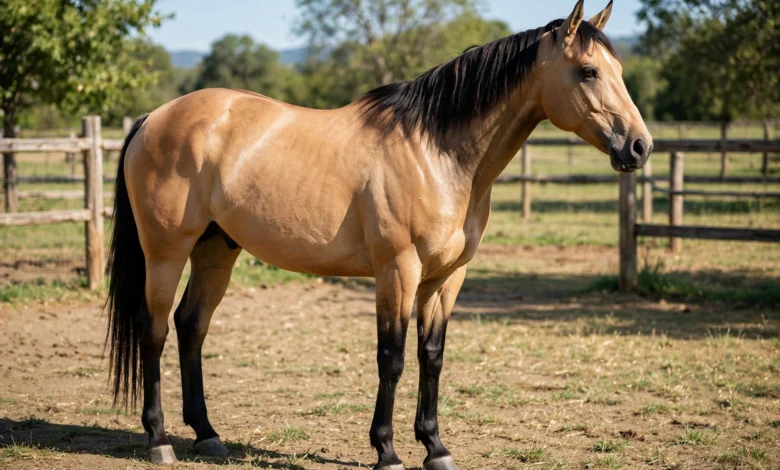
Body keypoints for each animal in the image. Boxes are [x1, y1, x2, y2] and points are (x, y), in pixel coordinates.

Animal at [105, 1, 652, 468]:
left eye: (621, 71)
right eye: (588, 72)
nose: (640, 146)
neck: (437, 155)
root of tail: (154, 118)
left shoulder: (447, 278)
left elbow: (431, 356)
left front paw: (435, 447)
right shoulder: (398, 270)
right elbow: (391, 357)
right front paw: (386, 452)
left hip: (217, 250)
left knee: (191, 325)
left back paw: (207, 435)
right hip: (167, 251)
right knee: (154, 330)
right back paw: (158, 441)